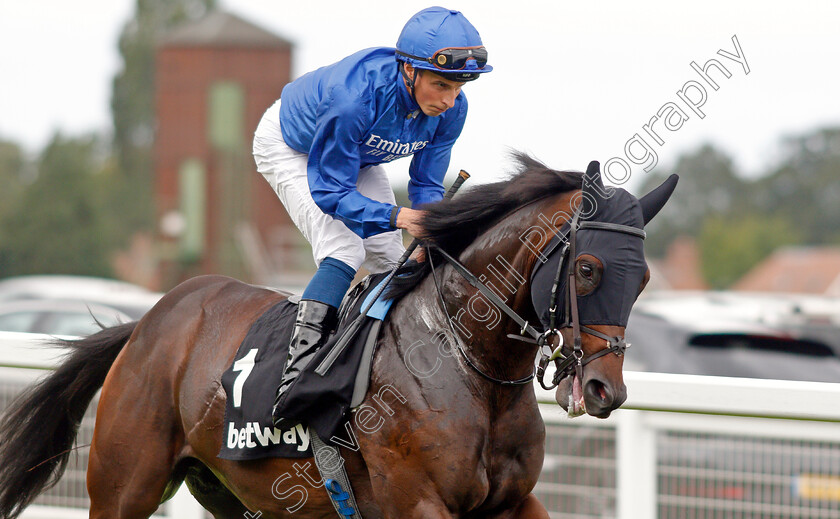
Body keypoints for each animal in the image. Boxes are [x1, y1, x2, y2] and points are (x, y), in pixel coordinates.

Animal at [0, 155, 672, 519]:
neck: (466, 362)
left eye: (643, 278)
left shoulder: (511, 501)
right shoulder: (418, 502)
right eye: (588, 270)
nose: (604, 388)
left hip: (237, 492)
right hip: (124, 486)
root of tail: (148, 321)